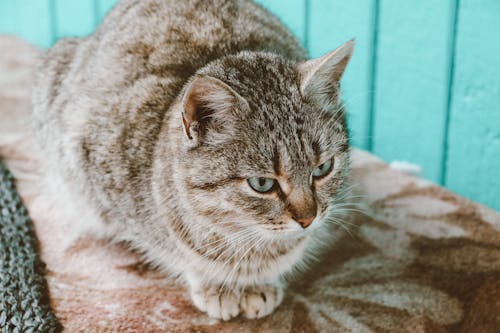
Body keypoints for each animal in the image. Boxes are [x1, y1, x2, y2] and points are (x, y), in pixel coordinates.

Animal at [32, 0, 352, 320]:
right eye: (262, 183)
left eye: (323, 168)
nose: (308, 219)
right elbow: (184, 257)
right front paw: (216, 286)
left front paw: (259, 283)